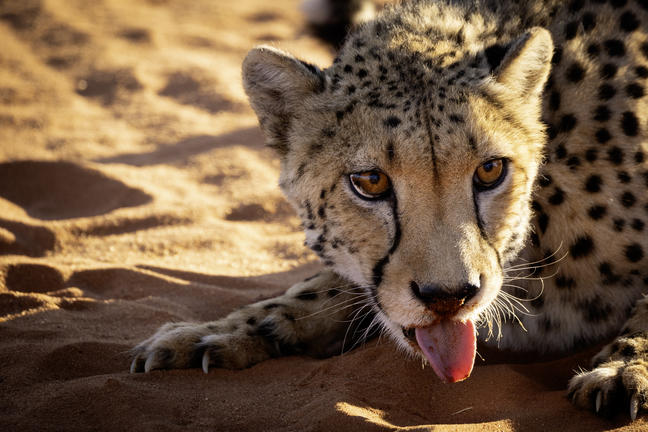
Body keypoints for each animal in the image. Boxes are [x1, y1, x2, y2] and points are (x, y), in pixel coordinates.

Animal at [131, 0, 648, 420]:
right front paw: (211, 333)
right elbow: (321, 288)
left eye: (490, 170)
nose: (449, 296)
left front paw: (626, 368)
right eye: (370, 182)